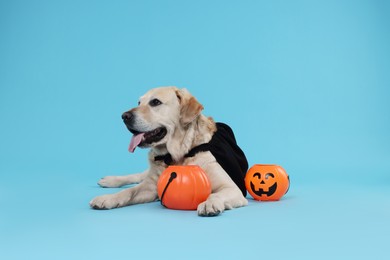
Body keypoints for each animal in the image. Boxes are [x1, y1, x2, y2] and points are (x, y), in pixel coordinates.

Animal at [88, 86, 248, 216]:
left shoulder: (232, 188)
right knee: (137, 176)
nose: (124, 116)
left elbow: (215, 195)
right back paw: (110, 180)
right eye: (139, 103)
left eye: (155, 102)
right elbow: (129, 191)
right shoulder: (150, 187)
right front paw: (108, 198)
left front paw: (209, 203)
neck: (178, 154)